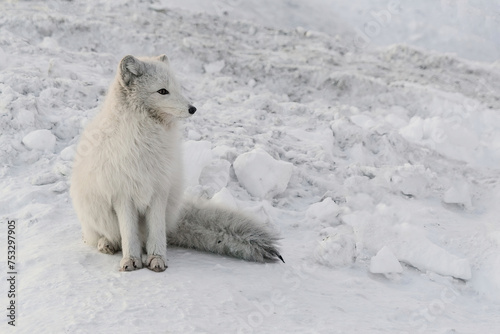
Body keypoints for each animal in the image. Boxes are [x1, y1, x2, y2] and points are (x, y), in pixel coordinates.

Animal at [70, 54, 284, 272]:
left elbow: (156, 231)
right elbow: (129, 234)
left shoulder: (159, 190)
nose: (193, 109)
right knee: (104, 235)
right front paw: (131, 259)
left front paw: (157, 258)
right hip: (94, 214)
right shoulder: (123, 195)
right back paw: (107, 243)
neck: (147, 138)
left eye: (178, 89)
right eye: (163, 91)